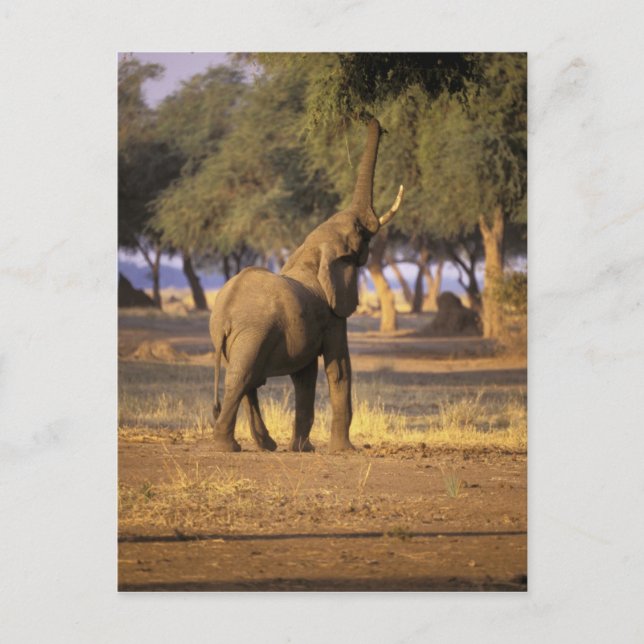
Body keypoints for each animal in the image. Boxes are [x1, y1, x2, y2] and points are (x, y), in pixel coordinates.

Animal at [209, 117, 403, 452]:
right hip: (253, 332)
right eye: (361, 232)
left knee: (248, 381)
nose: (370, 119)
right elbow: (339, 369)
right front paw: (344, 451)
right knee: (241, 378)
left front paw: (303, 449)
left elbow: (305, 375)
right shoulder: (333, 316)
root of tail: (223, 317)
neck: (311, 251)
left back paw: (265, 445)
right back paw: (228, 447)